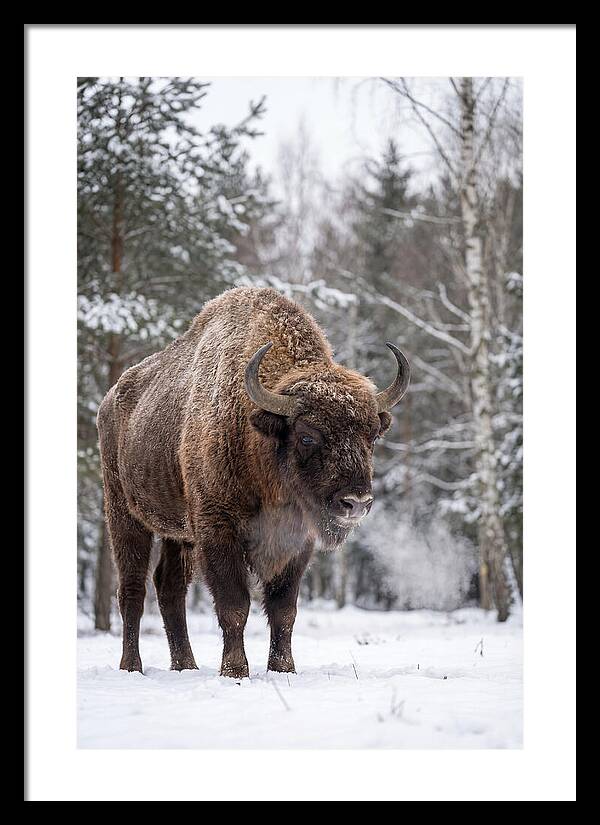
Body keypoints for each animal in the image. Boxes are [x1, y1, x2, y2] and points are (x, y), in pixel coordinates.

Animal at [97, 286, 410, 678]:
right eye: (307, 436)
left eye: (371, 436)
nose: (356, 503)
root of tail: (110, 400)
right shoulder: (217, 531)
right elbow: (235, 605)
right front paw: (234, 671)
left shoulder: (297, 542)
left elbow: (283, 609)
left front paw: (283, 669)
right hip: (125, 514)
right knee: (133, 590)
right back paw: (132, 667)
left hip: (178, 533)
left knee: (169, 588)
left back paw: (186, 666)